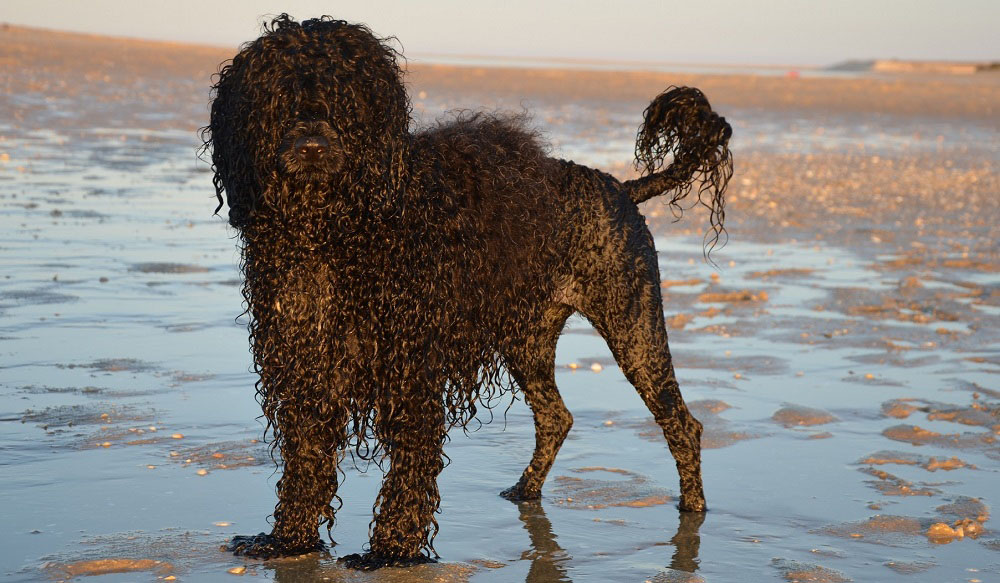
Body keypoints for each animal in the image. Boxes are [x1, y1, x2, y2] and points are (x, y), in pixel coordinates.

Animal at [203, 13, 736, 572]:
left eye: (347, 98)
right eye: (277, 97)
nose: (311, 148)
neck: (339, 229)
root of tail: (620, 186)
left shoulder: (409, 365)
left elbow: (410, 462)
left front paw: (392, 551)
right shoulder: (305, 361)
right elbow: (305, 457)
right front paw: (289, 540)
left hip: (632, 323)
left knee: (682, 423)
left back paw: (693, 511)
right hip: (527, 338)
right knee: (557, 417)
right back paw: (525, 490)